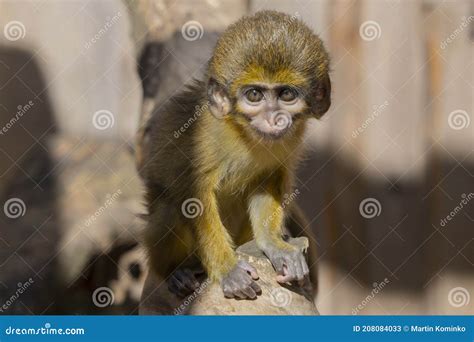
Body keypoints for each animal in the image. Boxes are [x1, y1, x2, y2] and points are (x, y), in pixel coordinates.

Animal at [143, 10, 332, 300]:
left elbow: (267, 180)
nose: (274, 119)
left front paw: (274, 244)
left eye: (286, 94)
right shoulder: (202, 136)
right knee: (168, 209)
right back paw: (176, 271)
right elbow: (193, 196)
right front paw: (227, 269)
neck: (242, 134)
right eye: (254, 95)